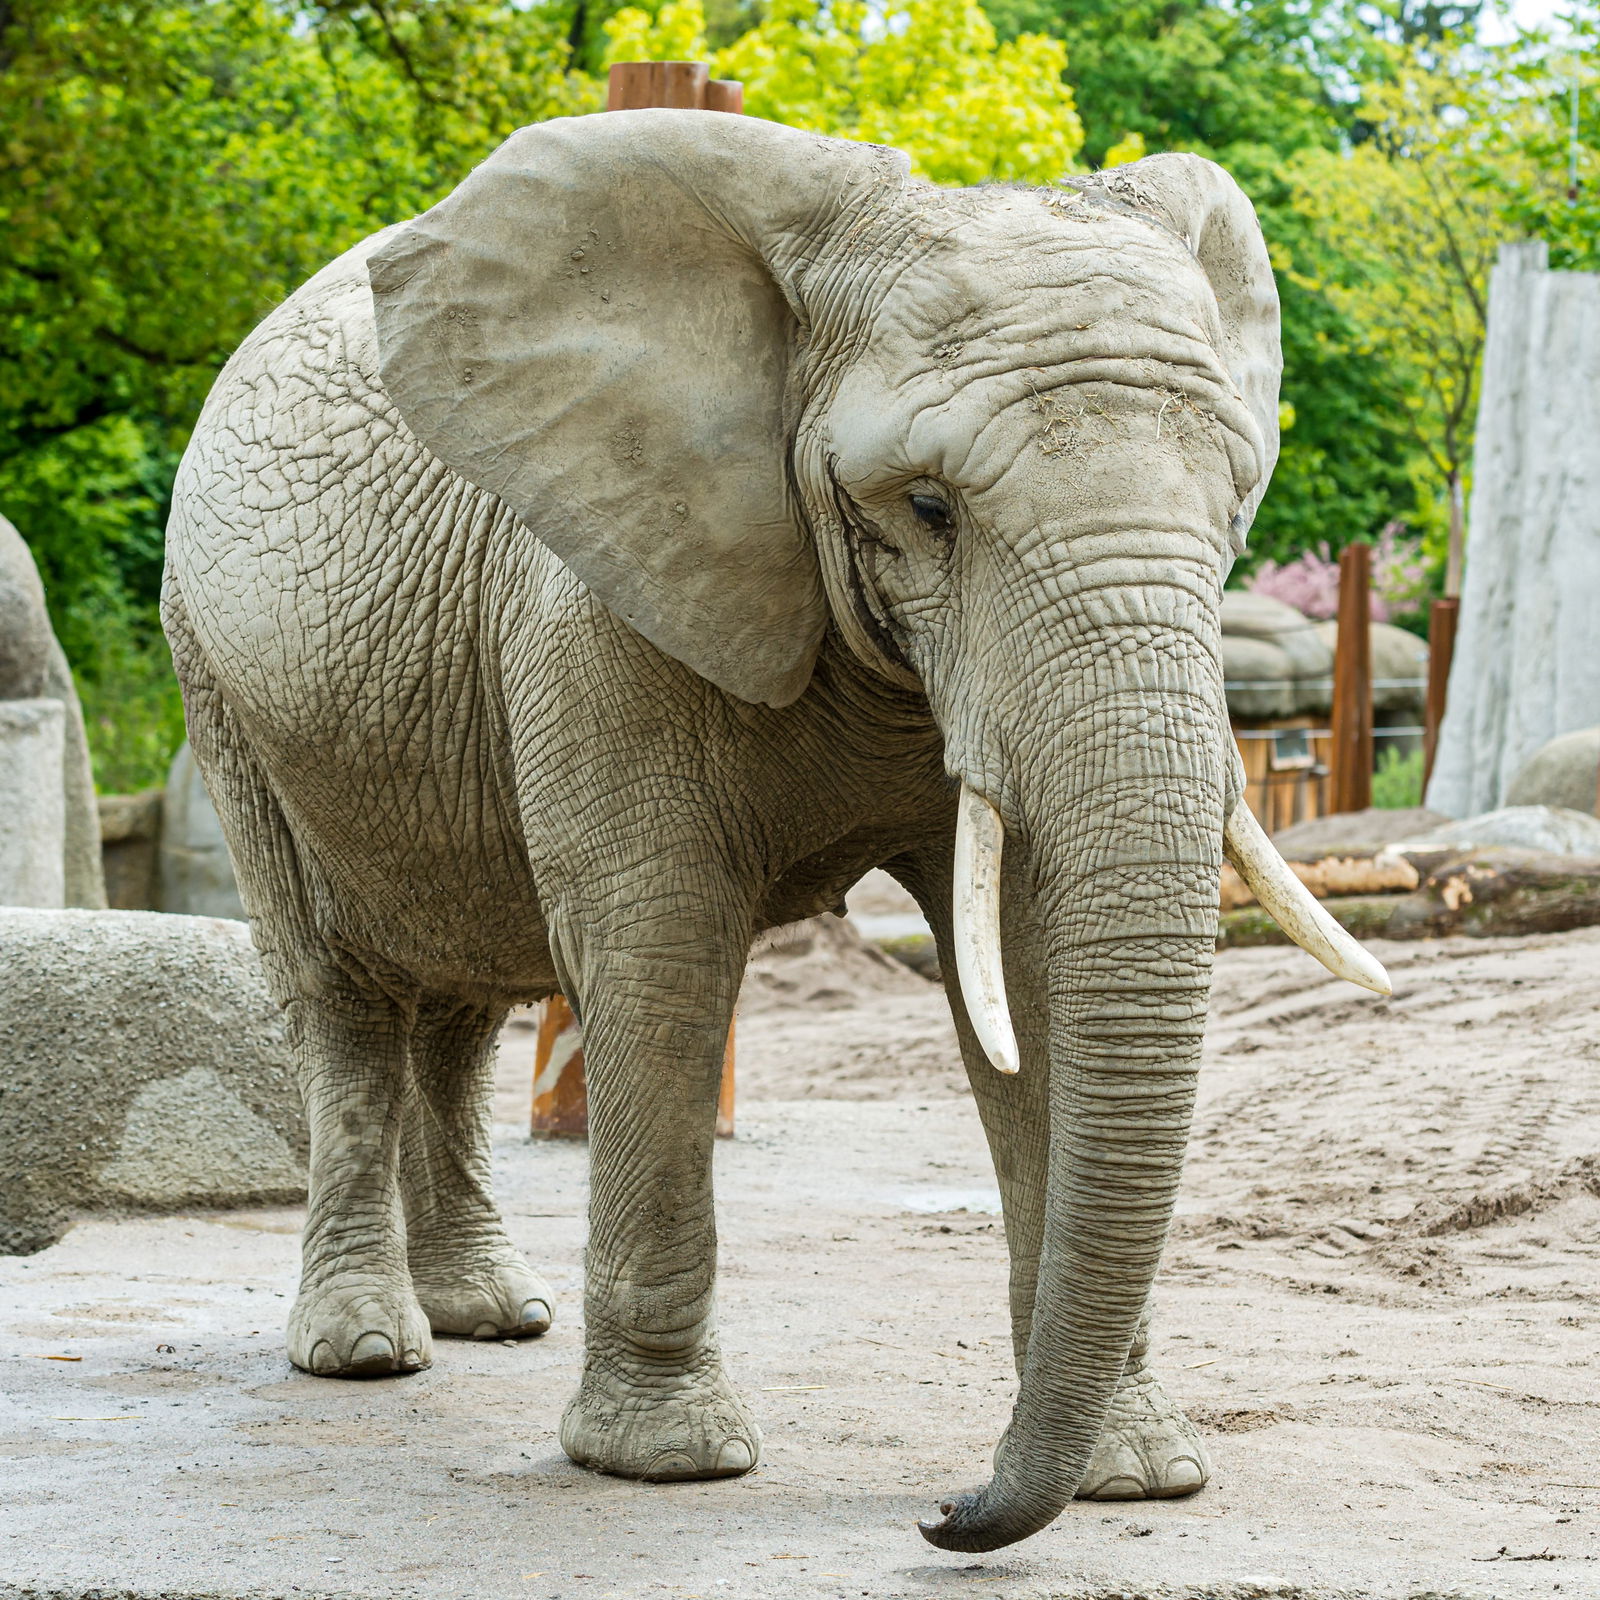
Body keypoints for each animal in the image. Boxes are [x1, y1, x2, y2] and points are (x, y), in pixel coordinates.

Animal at [162, 110, 1390, 1553]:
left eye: (1235, 498)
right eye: (928, 508)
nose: (944, 1512)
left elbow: (1030, 965)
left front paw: (1134, 1479)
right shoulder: (596, 595)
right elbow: (659, 948)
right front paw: (667, 1464)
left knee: (461, 997)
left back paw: (493, 1320)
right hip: (224, 690)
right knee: (346, 989)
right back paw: (367, 1351)